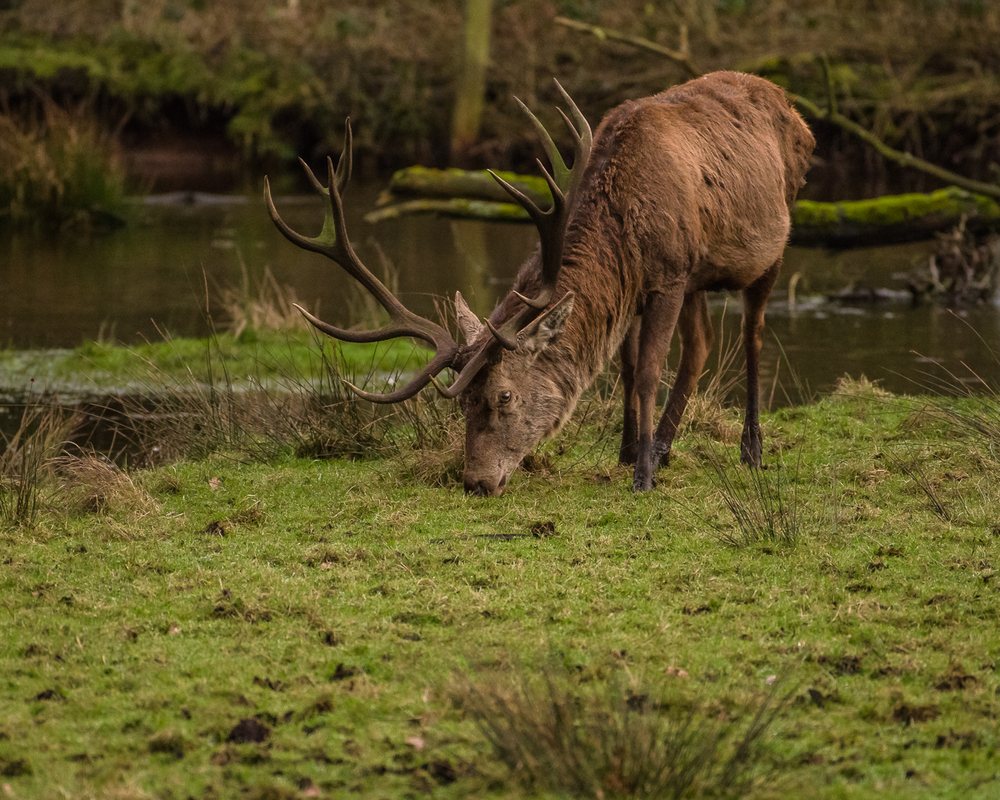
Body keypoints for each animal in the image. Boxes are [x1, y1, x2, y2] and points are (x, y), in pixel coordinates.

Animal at [266, 72, 812, 494]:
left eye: (504, 396)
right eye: (462, 402)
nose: (476, 482)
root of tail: (794, 110)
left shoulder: (670, 274)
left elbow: (649, 370)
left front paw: (642, 476)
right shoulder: (639, 290)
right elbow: (627, 369)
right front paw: (630, 453)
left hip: (773, 241)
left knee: (752, 334)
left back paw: (750, 449)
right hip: (701, 277)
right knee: (702, 344)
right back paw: (664, 447)